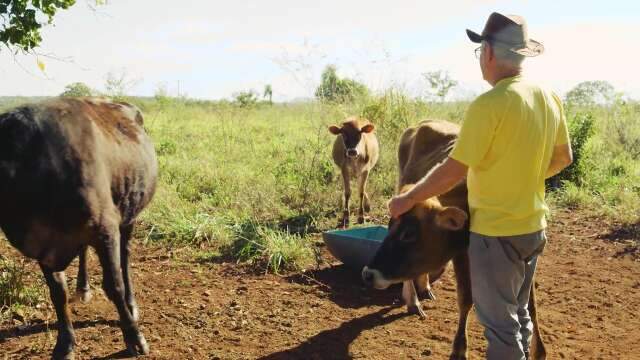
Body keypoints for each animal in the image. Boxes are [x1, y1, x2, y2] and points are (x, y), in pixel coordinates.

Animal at [0, 97, 158, 358]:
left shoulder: (105, 229)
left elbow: (114, 286)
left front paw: (135, 338)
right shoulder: (44, 246)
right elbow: (58, 293)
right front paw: (65, 344)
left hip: (129, 214)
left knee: (125, 259)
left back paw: (131, 304)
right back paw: (83, 288)